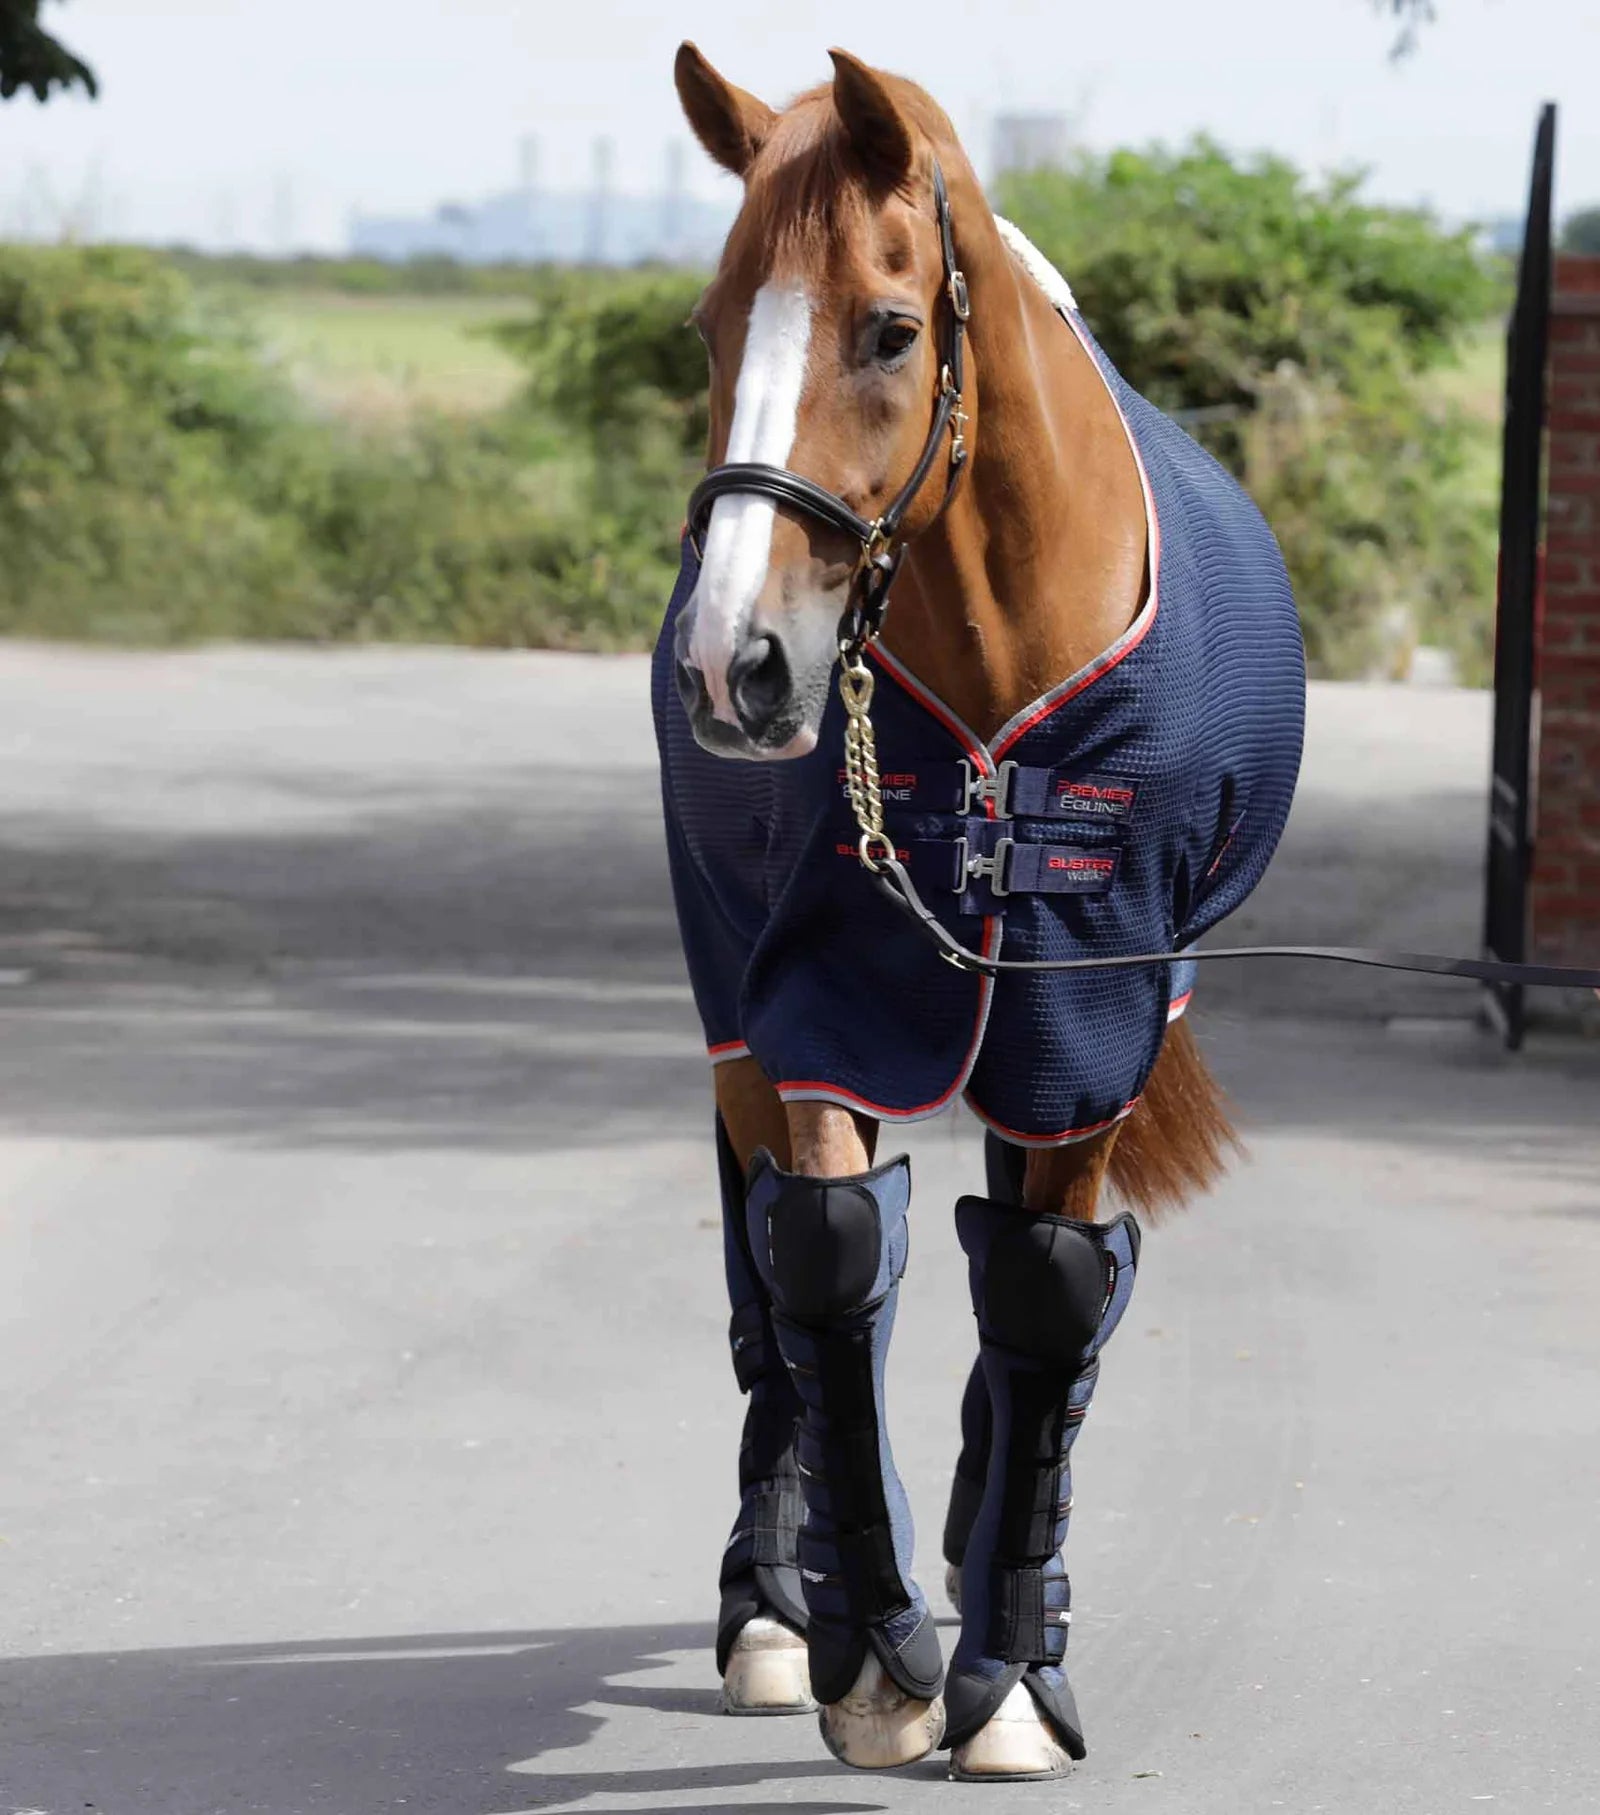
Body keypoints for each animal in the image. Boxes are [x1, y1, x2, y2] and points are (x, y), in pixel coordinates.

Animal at [651, 44, 1306, 1782]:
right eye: (713, 326)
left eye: (889, 329)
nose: (736, 666)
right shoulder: (824, 991)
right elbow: (819, 1260)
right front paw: (869, 1653)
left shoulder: (1092, 1007)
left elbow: (1046, 1285)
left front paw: (1009, 1673)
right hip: (738, 992)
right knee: (778, 1269)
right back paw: (778, 1596)